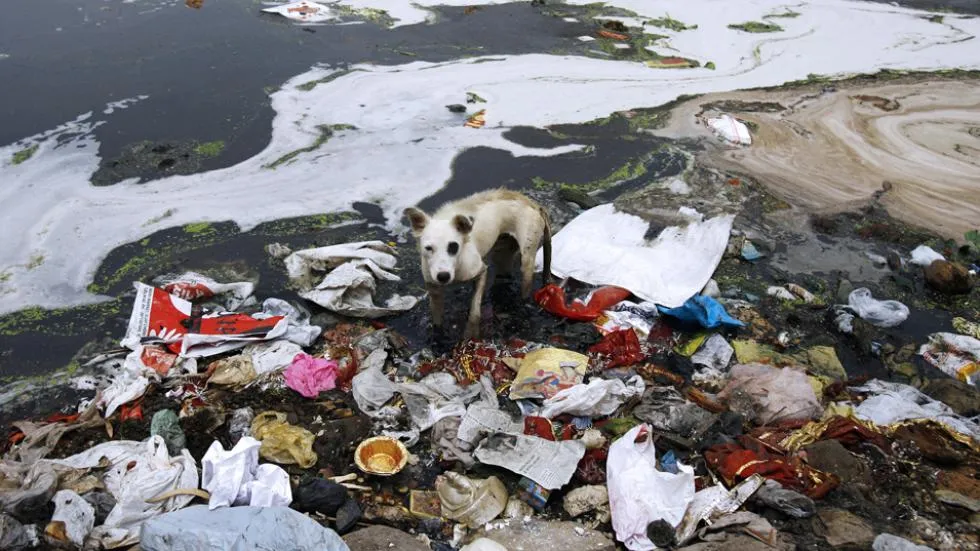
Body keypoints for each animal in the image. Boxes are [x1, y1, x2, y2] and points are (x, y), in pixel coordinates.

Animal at [404, 189, 552, 340]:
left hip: (527, 260)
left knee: (525, 287)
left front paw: (471, 333)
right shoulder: (434, 290)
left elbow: (475, 311)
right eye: (428, 248)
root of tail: (533, 204)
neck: (457, 265)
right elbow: (437, 321)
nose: (443, 276)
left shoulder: (481, 272)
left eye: (453, 246)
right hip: (502, 254)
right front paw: (438, 337)